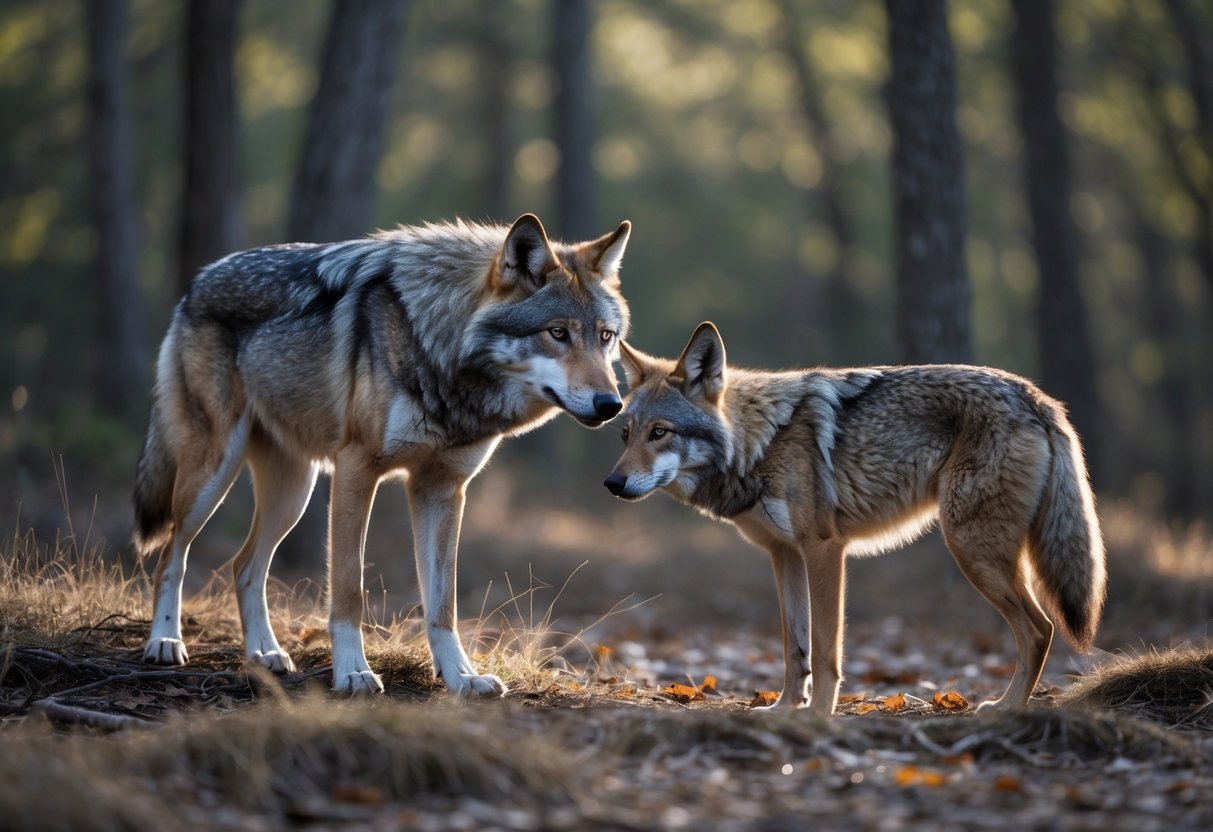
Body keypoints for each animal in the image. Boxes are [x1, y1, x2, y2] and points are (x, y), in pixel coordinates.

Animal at [134, 213, 631, 696]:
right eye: (557, 333)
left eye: (605, 336)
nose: (612, 405)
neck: (435, 346)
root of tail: (200, 280)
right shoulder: (356, 470)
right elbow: (349, 588)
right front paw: (353, 673)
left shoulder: (442, 489)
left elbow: (443, 605)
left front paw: (461, 677)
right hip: (212, 476)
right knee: (171, 555)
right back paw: (165, 641)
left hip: (292, 496)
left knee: (243, 566)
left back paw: (265, 654)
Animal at [604, 322, 1105, 715]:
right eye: (625, 434)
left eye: (660, 433)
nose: (612, 482)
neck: (759, 444)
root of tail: (1037, 397)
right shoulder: (784, 554)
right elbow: (794, 646)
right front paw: (784, 709)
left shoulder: (824, 549)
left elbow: (826, 649)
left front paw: (817, 714)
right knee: (1040, 629)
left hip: (971, 548)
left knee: (1040, 629)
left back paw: (1007, 707)